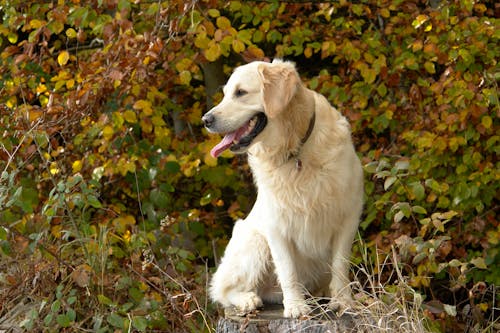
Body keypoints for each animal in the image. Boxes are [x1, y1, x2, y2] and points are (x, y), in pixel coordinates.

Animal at [203, 59, 364, 316]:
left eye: (240, 92)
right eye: (226, 93)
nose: (206, 120)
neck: (295, 150)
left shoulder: (348, 215)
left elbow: (340, 265)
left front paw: (343, 302)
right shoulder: (275, 224)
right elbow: (288, 269)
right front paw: (296, 306)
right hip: (255, 241)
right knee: (222, 290)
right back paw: (248, 300)